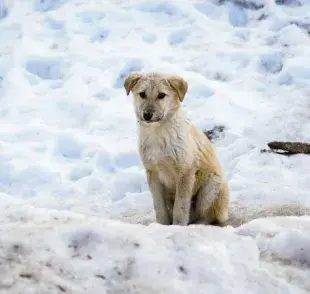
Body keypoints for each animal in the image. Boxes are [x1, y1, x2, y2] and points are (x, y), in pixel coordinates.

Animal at [124, 72, 229, 226]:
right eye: (142, 94)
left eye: (161, 95)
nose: (147, 115)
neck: (158, 133)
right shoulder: (153, 172)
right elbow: (159, 206)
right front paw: (162, 225)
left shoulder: (185, 172)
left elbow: (180, 206)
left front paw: (178, 226)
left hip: (210, 187)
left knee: (208, 216)